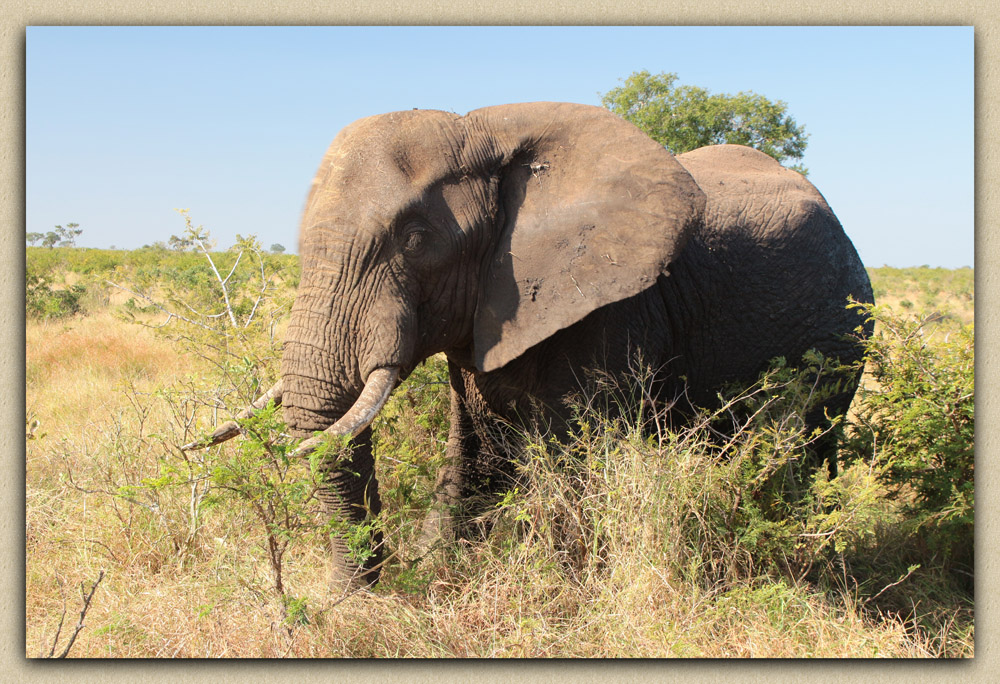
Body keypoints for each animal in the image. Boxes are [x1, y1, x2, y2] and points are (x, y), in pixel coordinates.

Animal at [184, 101, 872, 592]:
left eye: (414, 239)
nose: (346, 598)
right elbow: (475, 456)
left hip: (843, 335)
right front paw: (438, 566)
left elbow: (577, 466)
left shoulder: (614, 312)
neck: (485, 134)